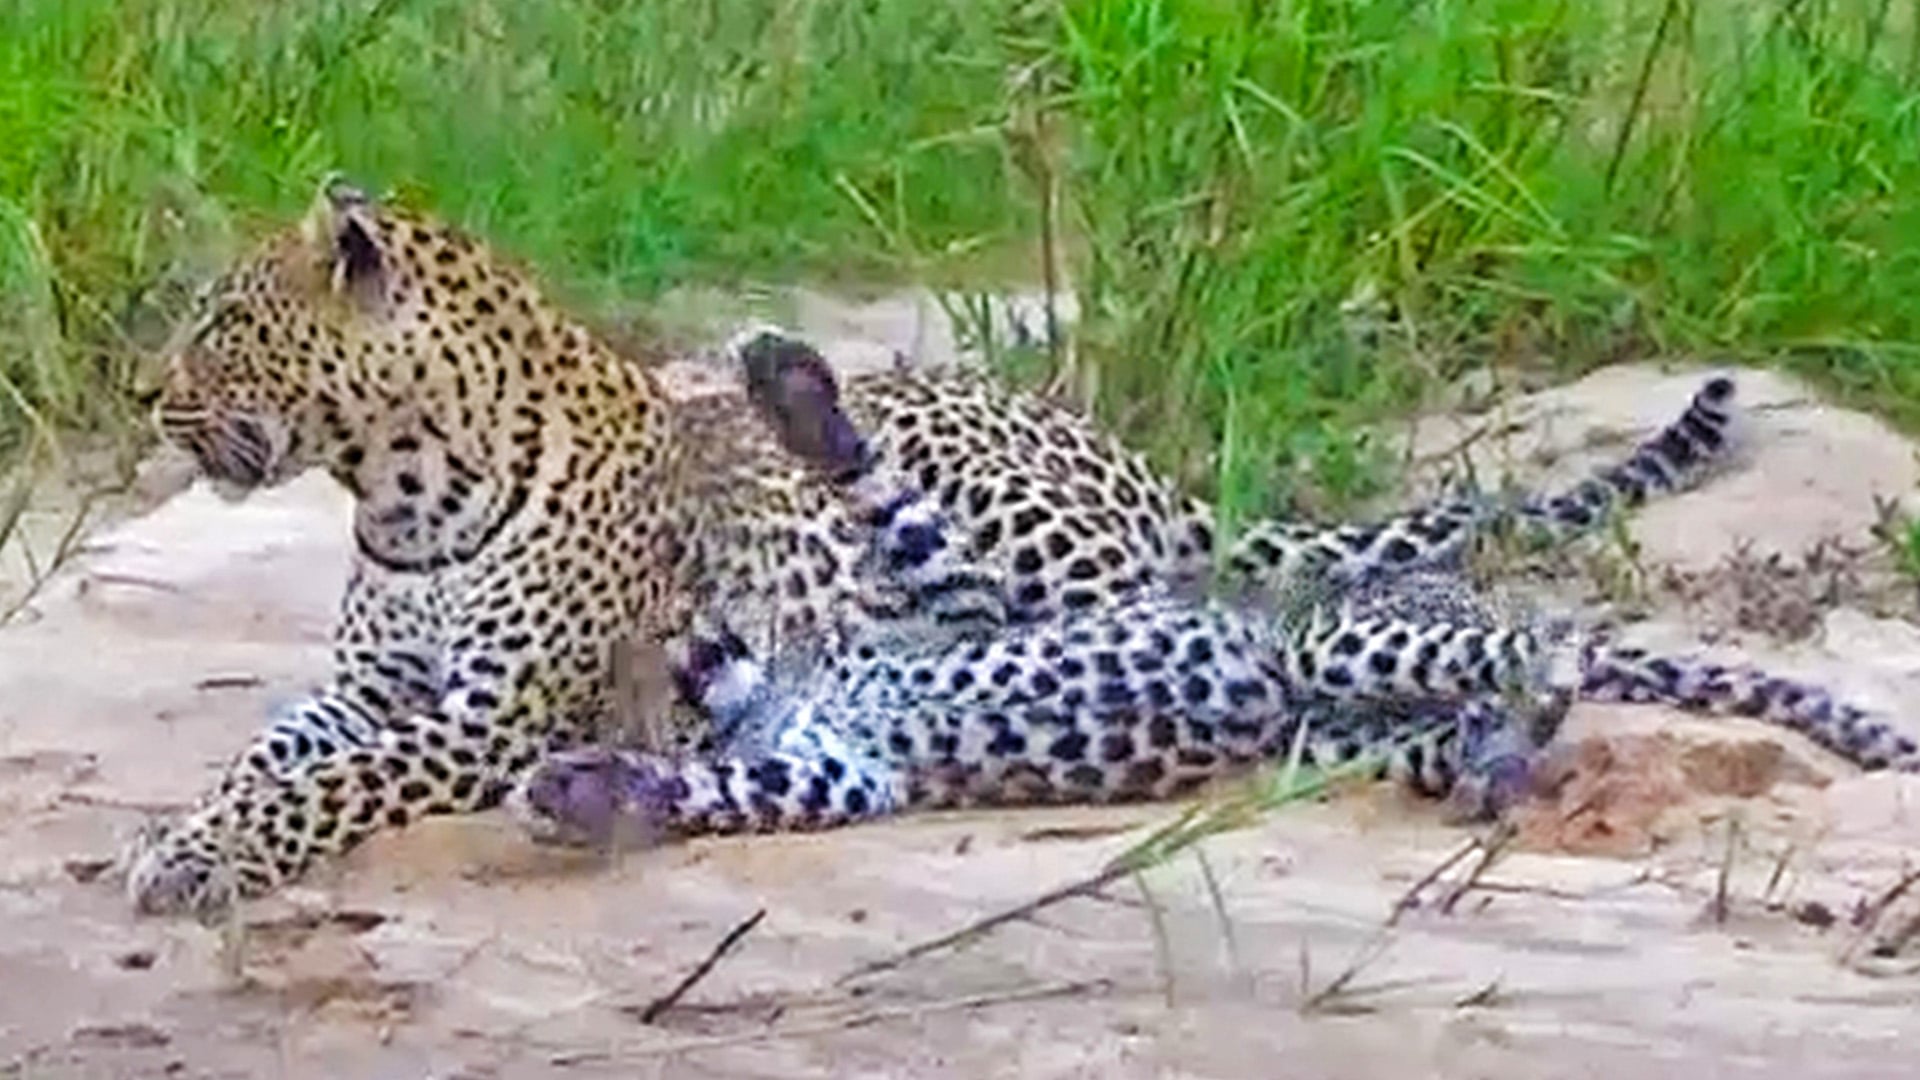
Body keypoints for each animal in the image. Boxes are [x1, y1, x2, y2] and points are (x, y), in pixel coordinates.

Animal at [125, 177, 1767, 920]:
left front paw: (203, 856)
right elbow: (279, 751)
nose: (145, 397)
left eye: (220, 323)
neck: (401, 494)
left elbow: (332, 783)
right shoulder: (370, 686)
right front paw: (184, 827)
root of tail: (1133, 462)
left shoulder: (492, 719)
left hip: (1026, 544)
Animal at [512, 329, 1920, 850]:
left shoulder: (956, 607)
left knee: (1542, 635)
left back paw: (1525, 697)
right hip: (1350, 732)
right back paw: (1494, 768)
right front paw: (590, 791)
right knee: (1490, 705)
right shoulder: (846, 771)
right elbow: (741, 789)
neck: (785, 689)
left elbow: (886, 502)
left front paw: (800, 396)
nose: (692, 662)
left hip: (1346, 640)